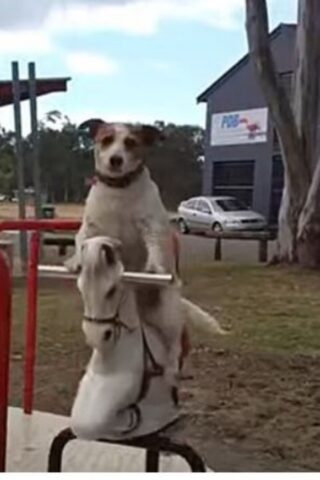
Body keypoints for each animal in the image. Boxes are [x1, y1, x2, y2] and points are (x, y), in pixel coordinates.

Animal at [66, 121, 224, 386]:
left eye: (131, 142)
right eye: (106, 139)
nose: (116, 159)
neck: (120, 189)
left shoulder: (152, 226)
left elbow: (155, 246)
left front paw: (154, 266)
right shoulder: (92, 226)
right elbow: (81, 239)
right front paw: (75, 259)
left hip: (167, 313)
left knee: (177, 343)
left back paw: (176, 367)